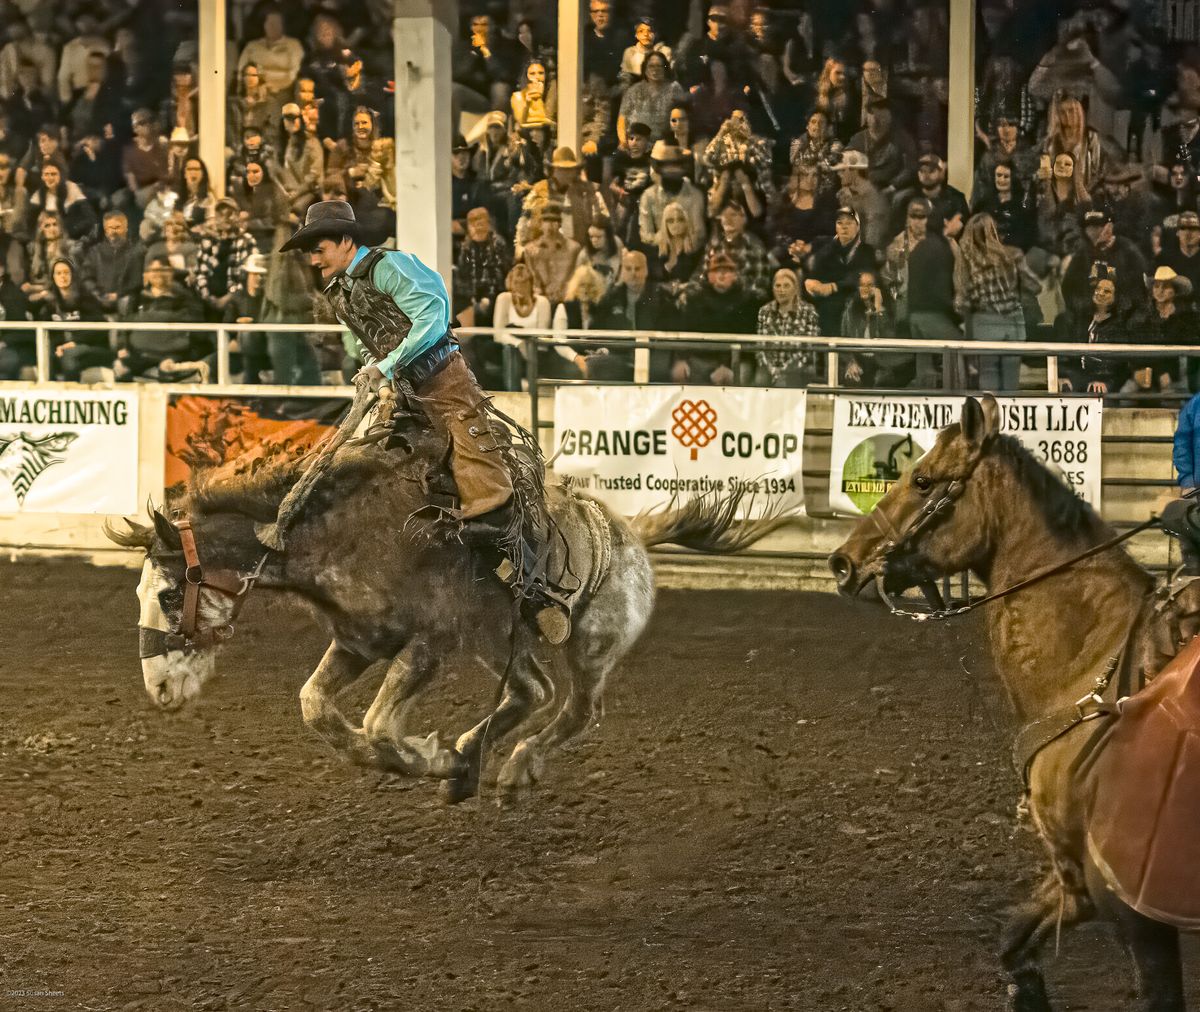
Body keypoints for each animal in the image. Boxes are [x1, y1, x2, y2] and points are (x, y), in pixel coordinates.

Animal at [830, 396, 1195, 1012]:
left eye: (922, 478)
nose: (842, 562)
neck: (1091, 667)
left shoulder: (1130, 903)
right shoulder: (1075, 878)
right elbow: (1014, 939)